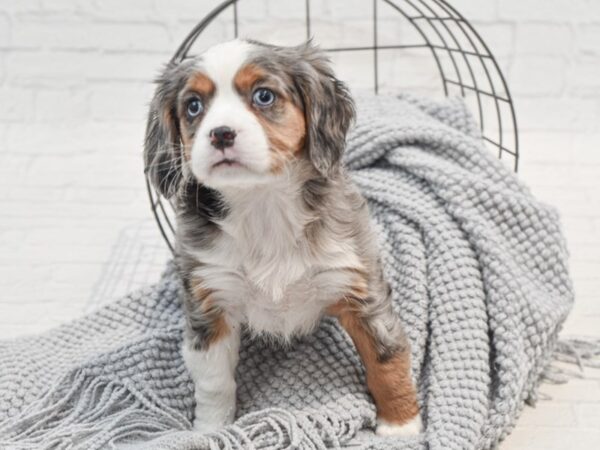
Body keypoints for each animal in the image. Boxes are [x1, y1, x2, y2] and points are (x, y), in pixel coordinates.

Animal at [143, 38, 420, 436]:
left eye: (264, 96)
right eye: (193, 105)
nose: (221, 133)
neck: (263, 204)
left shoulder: (360, 289)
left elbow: (386, 359)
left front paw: (401, 424)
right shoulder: (210, 300)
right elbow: (213, 381)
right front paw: (210, 430)